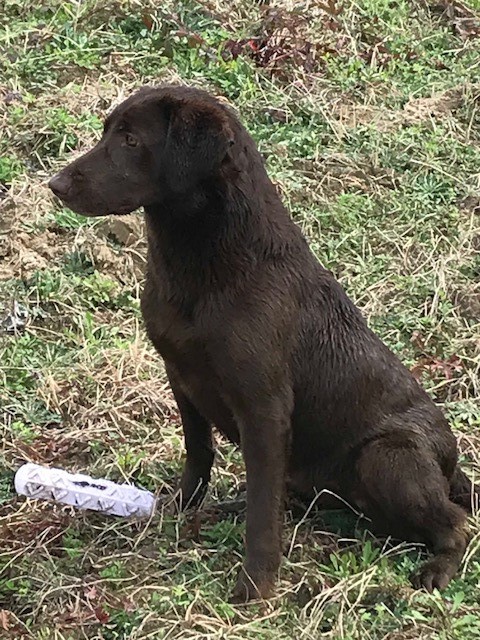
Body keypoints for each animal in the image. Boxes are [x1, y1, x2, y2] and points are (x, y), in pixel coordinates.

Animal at [47, 84, 476, 600]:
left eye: (131, 140)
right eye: (108, 131)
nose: (55, 184)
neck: (208, 267)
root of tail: (453, 466)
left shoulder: (264, 408)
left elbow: (262, 513)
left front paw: (257, 582)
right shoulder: (181, 378)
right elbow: (199, 454)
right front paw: (184, 507)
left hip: (387, 456)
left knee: (456, 523)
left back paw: (438, 568)